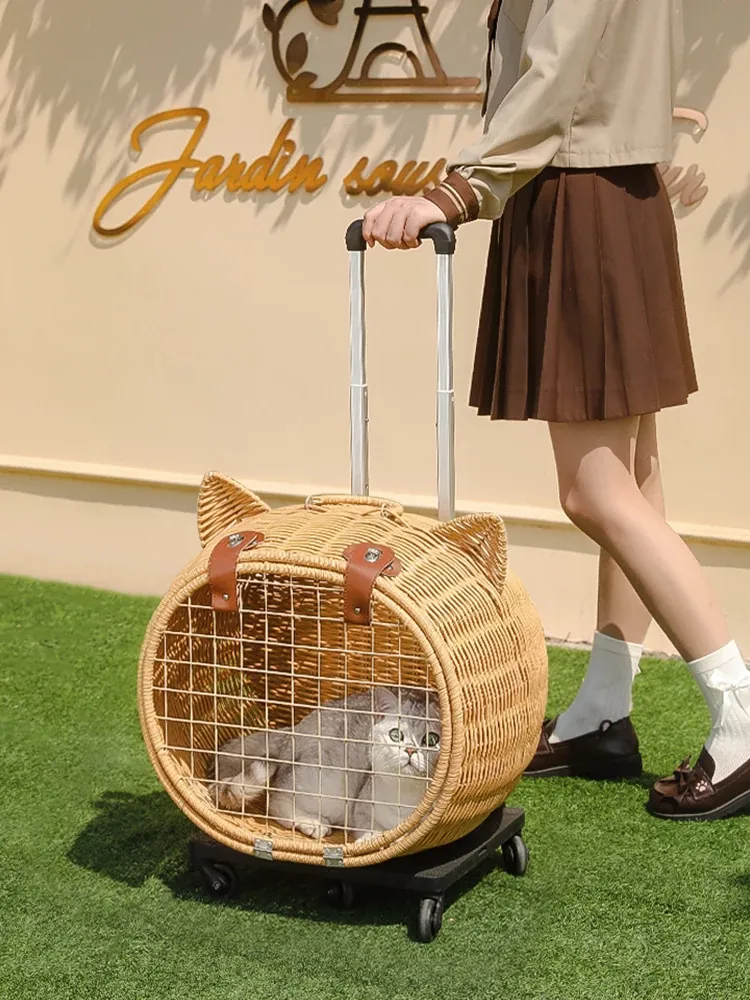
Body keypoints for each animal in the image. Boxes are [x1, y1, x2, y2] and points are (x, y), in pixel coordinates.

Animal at [207, 686, 441, 842]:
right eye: (396, 735)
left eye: (431, 740)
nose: (410, 750)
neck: (406, 798)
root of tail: (295, 729)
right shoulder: (361, 807)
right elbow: (369, 827)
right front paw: (372, 838)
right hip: (329, 784)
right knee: (277, 801)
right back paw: (313, 823)